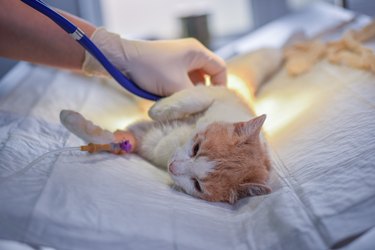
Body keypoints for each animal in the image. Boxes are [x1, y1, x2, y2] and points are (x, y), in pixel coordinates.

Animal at [61, 85, 274, 203]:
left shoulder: (139, 139)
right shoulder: (222, 93)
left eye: (197, 185)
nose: (172, 166)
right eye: (196, 148)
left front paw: (71, 120)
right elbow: (192, 98)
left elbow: (112, 140)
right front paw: (158, 108)